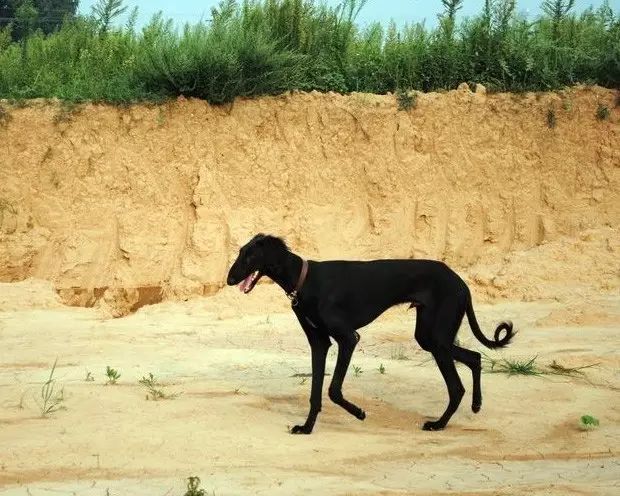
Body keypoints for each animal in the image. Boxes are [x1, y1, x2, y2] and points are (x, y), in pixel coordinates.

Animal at [228, 234, 512, 432]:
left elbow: (333, 390)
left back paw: (439, 424)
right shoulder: (319, 343)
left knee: (456, 387)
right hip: (430, 337)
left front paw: (359, 413)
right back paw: (476, 405)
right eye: (240, 253)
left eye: (249, 257)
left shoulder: (348, 338)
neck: (304, 280)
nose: (229, 279)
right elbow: (315, 393)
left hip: (437, 338)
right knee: (475, 357)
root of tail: (461, 282)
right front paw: (307, 428)